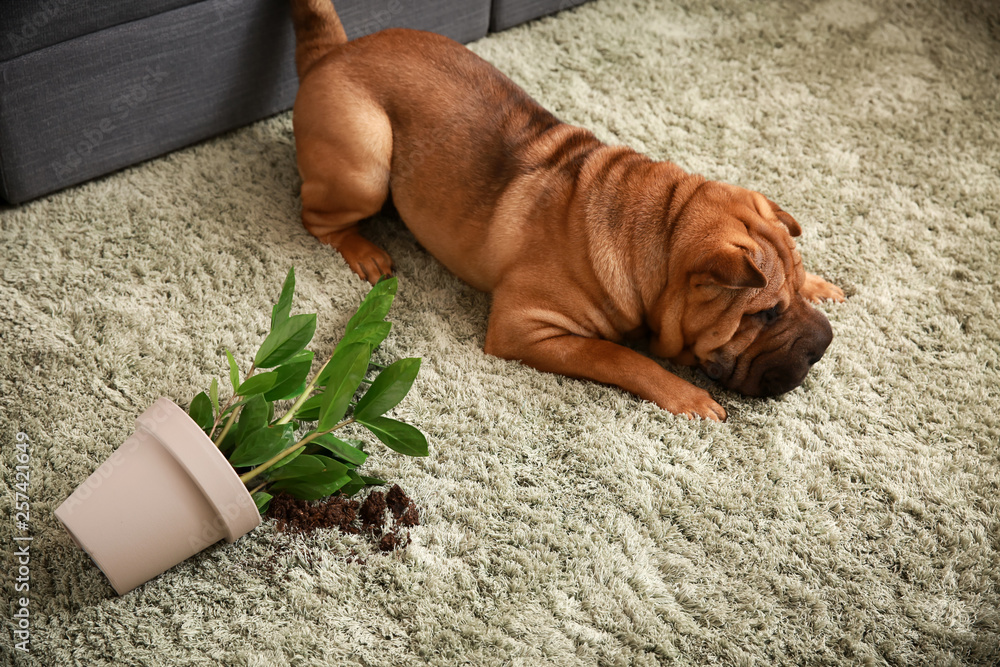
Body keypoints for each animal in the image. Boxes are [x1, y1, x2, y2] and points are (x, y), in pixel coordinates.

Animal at [288, 0, 844, 420]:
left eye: (791, 293)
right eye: (766, 314)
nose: (824, 345)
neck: (661, 227)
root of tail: (332, 53)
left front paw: (821, 284)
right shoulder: (526, 326)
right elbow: (620, 356)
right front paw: (688, 396)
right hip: (366, 164)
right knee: (314, 217)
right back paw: (364, 251)